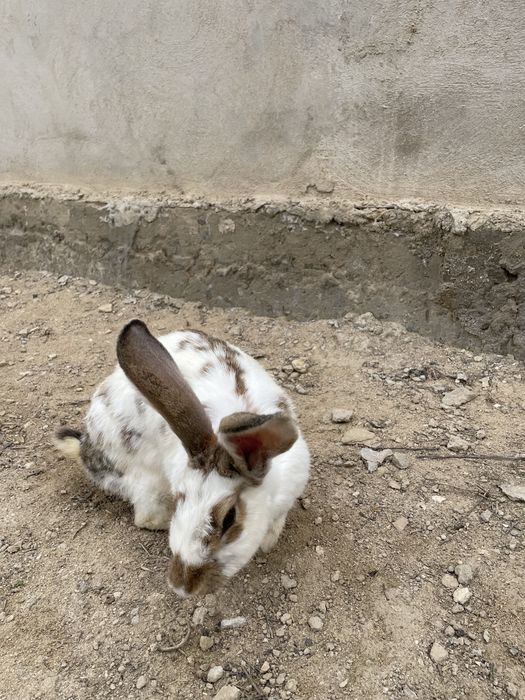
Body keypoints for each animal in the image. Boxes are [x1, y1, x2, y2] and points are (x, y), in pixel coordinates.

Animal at [55, 319, 310, 597]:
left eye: (229, 518)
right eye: (180, 499)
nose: (181, 586)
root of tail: (85, 448)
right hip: (144, 477)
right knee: (145, 517)